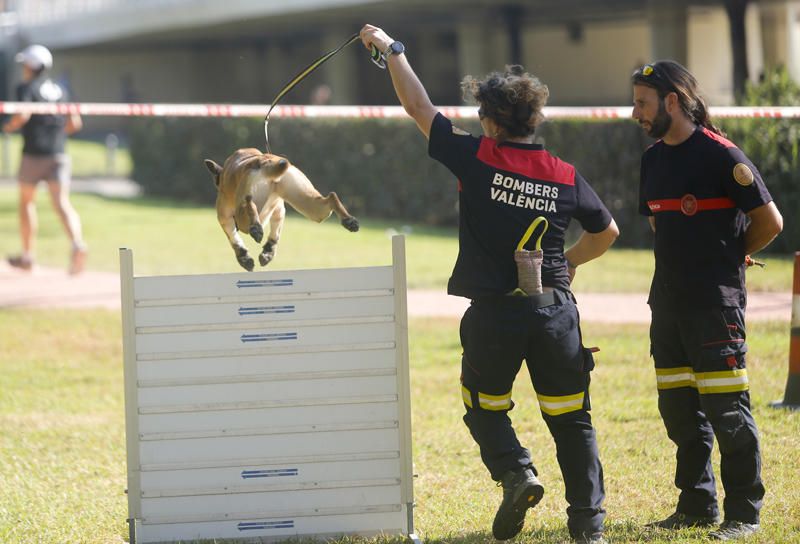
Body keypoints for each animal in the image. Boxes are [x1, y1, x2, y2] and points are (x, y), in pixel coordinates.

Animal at [203, 148, 360, 270]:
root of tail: (265, 160)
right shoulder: (279, 211)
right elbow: (275, 233)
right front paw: (268, 252)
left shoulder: (224, 218)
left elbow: (234, 239)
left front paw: (245, 258)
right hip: (311, 206)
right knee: (332, 197)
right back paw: (349, 221)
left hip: (243, 217)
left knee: (248, 204)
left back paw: (256, 228)